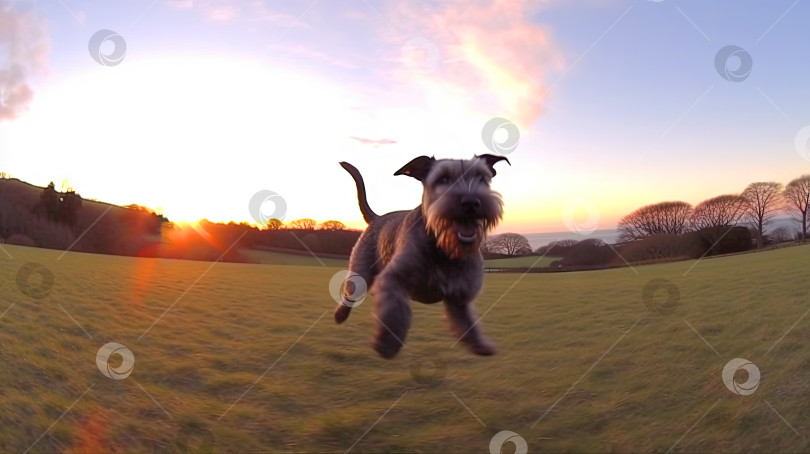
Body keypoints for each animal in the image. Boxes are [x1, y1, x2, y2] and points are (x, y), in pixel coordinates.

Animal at [332, 156, 508, 358]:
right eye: (443, 179)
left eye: (481, 178)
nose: (471, 202)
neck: (443, 249)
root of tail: (376, 218)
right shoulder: (393, 279)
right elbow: (395, 310)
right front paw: (387, 343)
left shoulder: (459, 298)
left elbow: (468, 325)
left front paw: (481, 344)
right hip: (360, 273)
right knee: (350, 294)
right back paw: (340, 315)